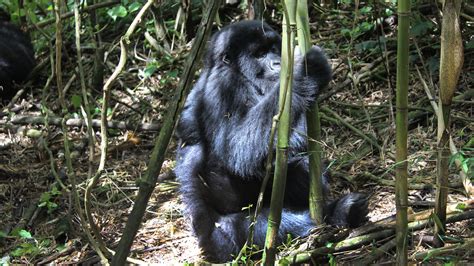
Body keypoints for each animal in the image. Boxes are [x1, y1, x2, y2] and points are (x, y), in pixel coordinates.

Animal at [176, 20, 368, 262]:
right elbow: (238, 149)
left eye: (276, 49)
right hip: (222, 241)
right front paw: (304, 72)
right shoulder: (224, 86)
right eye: (259, 53)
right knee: (262, 227)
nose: (278, 62)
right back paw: (335, 214)